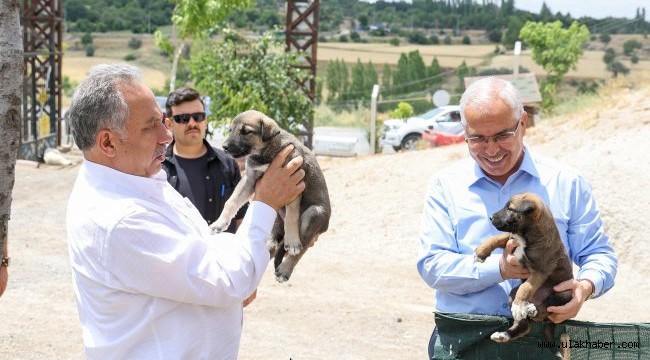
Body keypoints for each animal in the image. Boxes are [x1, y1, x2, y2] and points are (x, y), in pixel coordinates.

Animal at [209, 108, 330, 282]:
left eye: (246, 131)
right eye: (230, 130)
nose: (224, 147)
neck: (264, 152)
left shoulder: (294, 184)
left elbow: (292, 217)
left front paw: (292, 242)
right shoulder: (249, 179)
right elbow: (231, 201)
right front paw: (219, 223)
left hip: (314, 213)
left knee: (302, 247)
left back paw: (286, 267)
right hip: (276, 219)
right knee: (274, 242)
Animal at [470, 193, 572, 358]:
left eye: (510, 209)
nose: (491, 217)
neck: (526, 237)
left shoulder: (539, 272)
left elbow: (526, 287)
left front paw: (519, 306)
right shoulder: (512, 238)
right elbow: (498, 237)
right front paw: (481, 252)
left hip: (563, 294)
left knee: (546, 307)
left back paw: (530, 308)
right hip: (512, 293)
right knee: (525, 325)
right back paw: (504, 334)